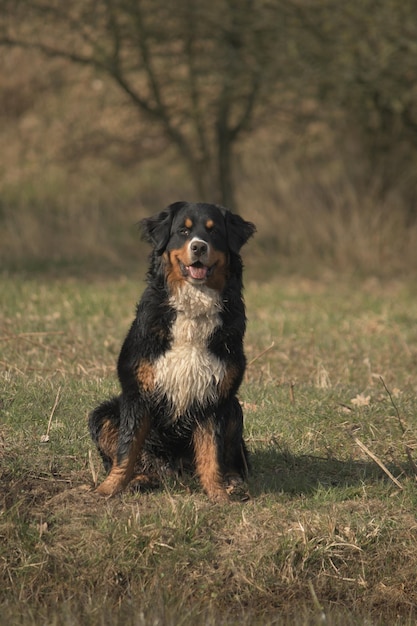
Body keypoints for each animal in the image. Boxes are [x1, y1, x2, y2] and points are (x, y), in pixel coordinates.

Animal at [89, 201, 255, 502]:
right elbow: (126, 450)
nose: (199, 247)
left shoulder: (214, 397)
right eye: (183, 231)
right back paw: (139, 479)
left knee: (233, 459)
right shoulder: (138, 393)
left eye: (214, 232)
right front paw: (108, 489)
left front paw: (218, 494)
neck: (192, 308)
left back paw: (233, 480)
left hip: (234, 408)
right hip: (104, 414)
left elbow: (211, 453)